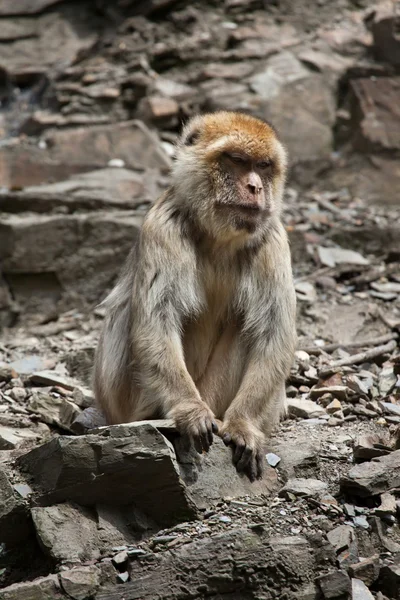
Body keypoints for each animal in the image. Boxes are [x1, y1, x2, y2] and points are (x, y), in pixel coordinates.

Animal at [92, 110, 296, 480]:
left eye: (263, 166)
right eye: (237, 160)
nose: (256, 187)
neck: (219, 237)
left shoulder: (273, 237)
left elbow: (274, 335)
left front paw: (244, 425)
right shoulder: (163, 226)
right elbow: (156, 324)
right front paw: (189, 411)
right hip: (128, 399)